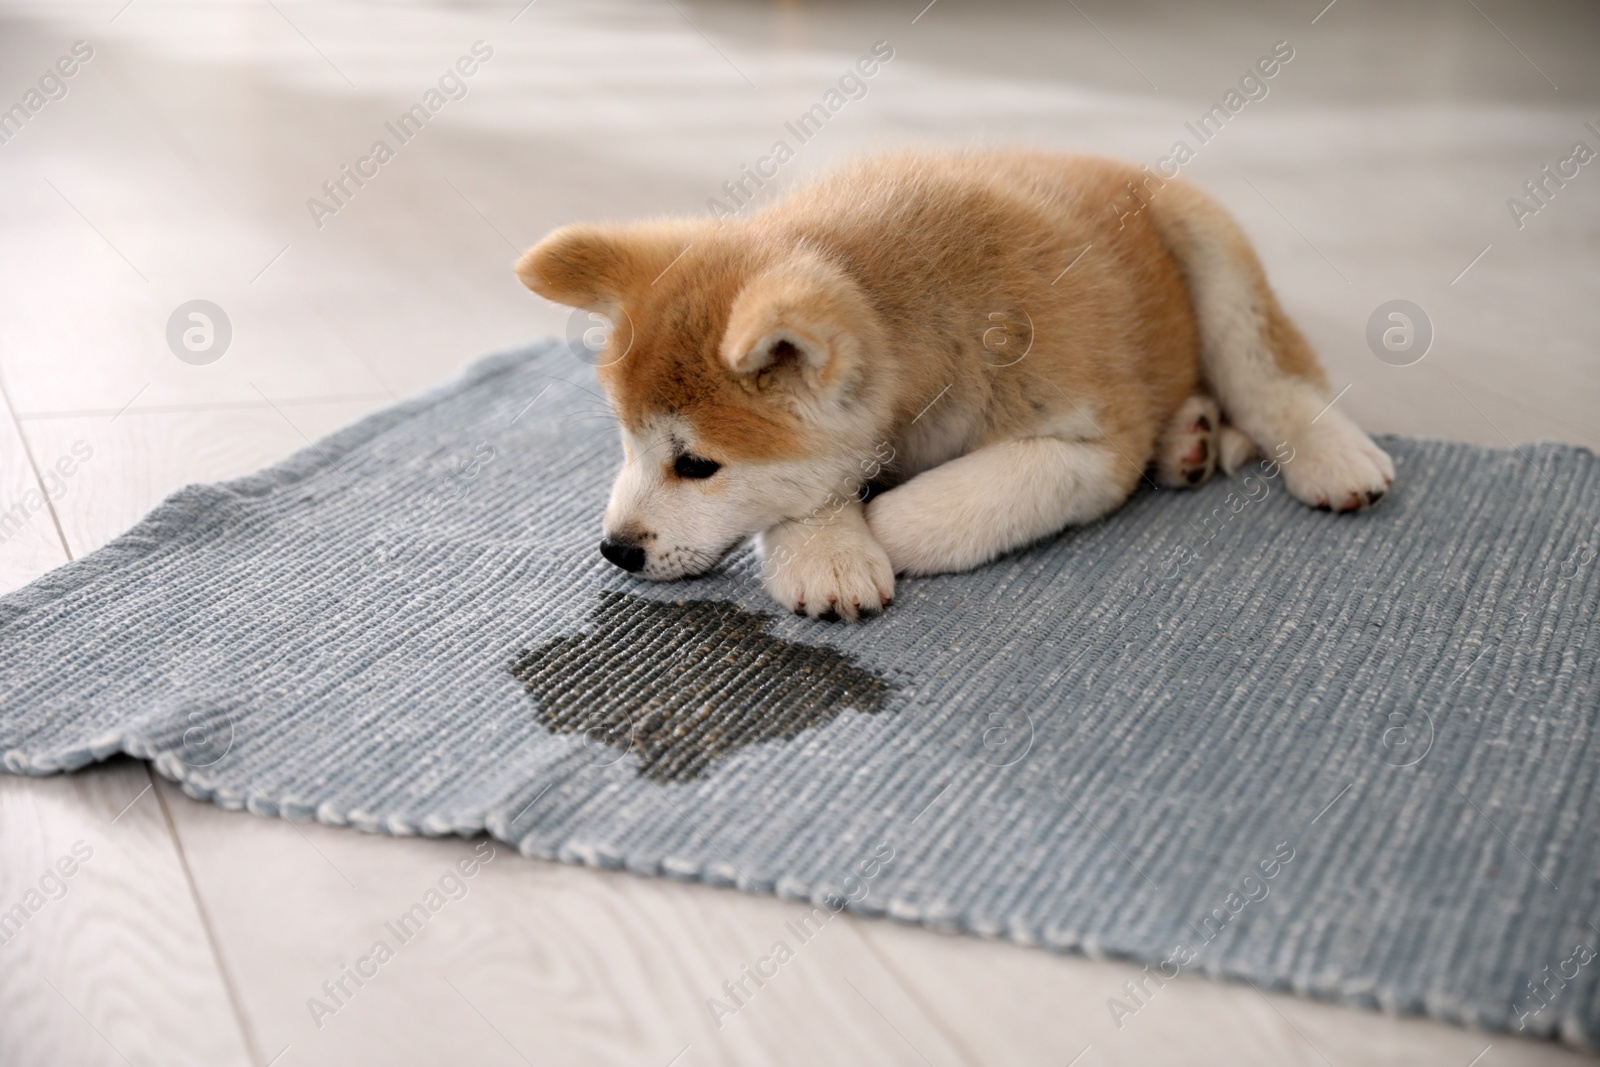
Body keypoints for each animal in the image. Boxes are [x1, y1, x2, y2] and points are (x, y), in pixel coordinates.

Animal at [518, 149, 1395, 617]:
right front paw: (826, 547)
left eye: (697, 464)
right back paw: (1190, 438)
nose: (616, 549)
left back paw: (1329, 454)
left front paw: (866, 527)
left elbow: (944, 506)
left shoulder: (1090, 446)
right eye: (626, 442)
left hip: (1209, 248)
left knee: (1272, 378)